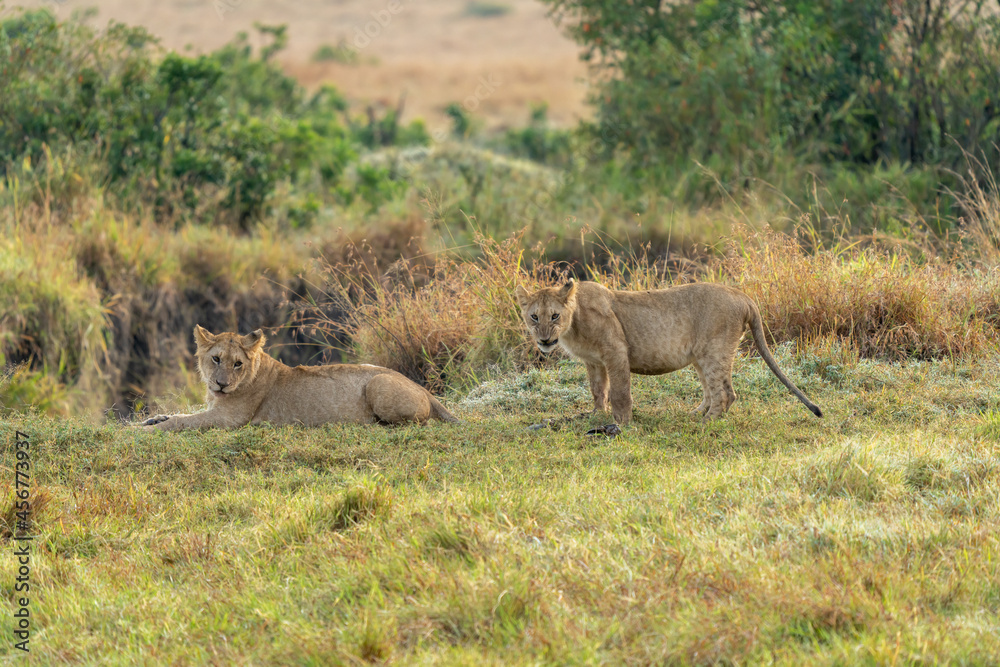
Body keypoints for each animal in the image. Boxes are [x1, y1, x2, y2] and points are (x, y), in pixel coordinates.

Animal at [137, 324, 458, 430]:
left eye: (237, 364)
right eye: (215, 359)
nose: (221, 383)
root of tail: (424, 390)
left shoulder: (228, 420)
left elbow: (182, 422)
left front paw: (149, 430)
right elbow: (179, 414)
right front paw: (153, 420)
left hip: (378, 383)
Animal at [516, 280, 820, 426]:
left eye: (554, 316)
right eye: (534, 317)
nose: (544, 340)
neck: (574, 323)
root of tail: (743, 296)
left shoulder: (616, 352)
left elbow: (620, 393)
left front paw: (622, 424)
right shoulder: (593, 362)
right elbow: (598, 391)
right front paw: (596, 416)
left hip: (714, 350)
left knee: (726, 393)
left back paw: (706, 423)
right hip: (701, 356)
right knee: (714, 390)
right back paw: (696, 414)